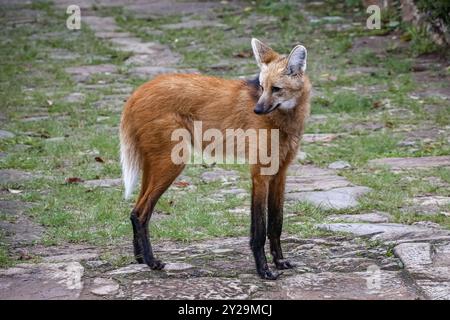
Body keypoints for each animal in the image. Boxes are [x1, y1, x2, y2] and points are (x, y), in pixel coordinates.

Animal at [119, 38, 310, 278]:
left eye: (276, 89)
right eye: (262, 87)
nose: (256, 110)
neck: (284, 119)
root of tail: (137, 92)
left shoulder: (280, 172)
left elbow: (276, 223)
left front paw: (280, 261)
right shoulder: (260, 174)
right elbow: (259, 229)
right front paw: (264, 270)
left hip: (155, 163)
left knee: (134, 210)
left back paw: (140, 259)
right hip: (173, 162)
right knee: (141, 213)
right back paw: (153, 262)